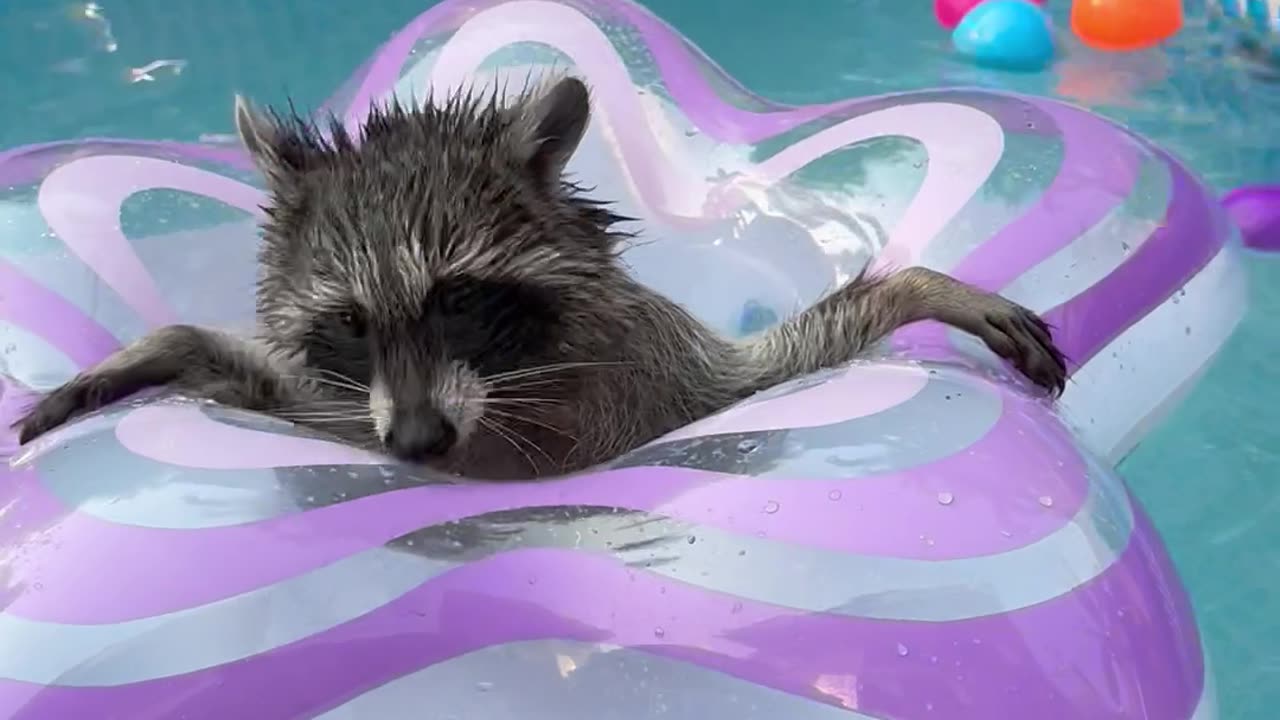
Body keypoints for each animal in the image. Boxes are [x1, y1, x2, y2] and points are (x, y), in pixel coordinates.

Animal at [12, 75, 1070, 479]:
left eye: (458, 300)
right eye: (351, 323)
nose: (418, 445)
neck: (511, 390)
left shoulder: (661, 370)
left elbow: (772, 367)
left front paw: (919, 284)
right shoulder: (365, 408)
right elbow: (307, 404)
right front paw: (164, 346)